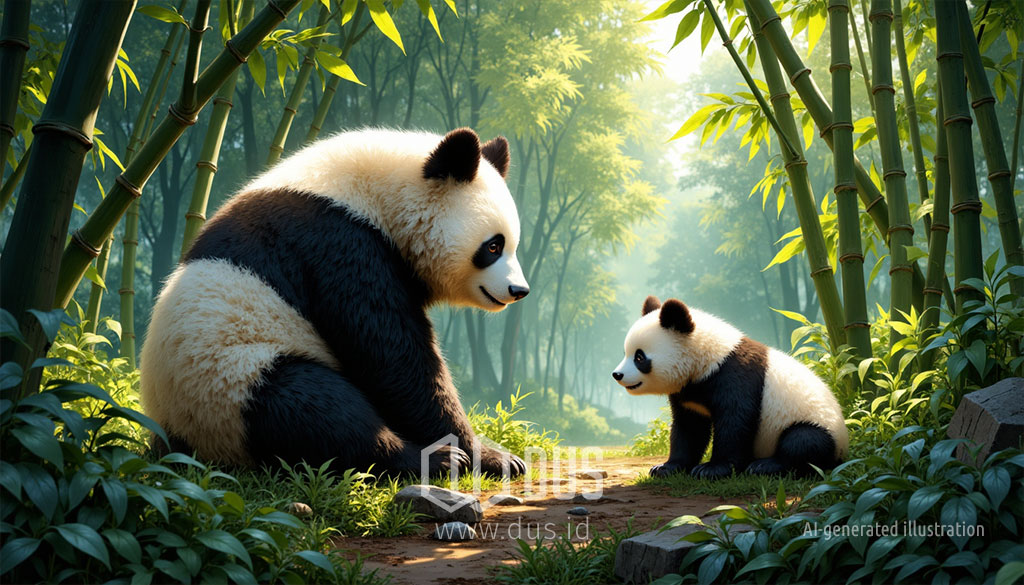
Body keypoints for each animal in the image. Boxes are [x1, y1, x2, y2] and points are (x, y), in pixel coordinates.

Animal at [140, 127, 530, 478]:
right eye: (493, 246)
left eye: (511, 244)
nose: (519, 290)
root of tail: (175, 441)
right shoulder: (338, 242)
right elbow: (391, 356)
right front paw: (486, 456)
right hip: (228, 384)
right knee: (312, 410)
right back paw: (428, 460)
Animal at [611, 296, 848, 479]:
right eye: (625, 353)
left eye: (639, 357)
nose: (617, 375)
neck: (709, 358)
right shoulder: (690, 391)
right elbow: (690, 427)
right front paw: (666, 468)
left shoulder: (735, 377)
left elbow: (735, 422)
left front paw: (710, 470)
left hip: (817, 424)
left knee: (803, 441)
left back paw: (764, 466)